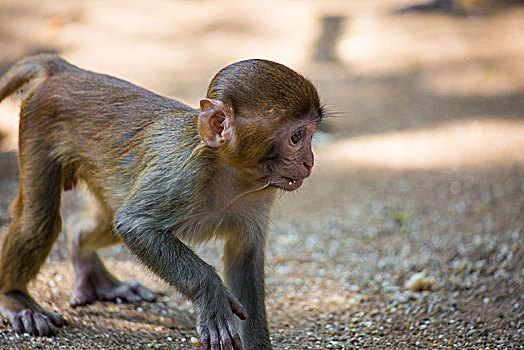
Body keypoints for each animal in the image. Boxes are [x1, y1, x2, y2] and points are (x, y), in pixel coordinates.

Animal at [0, 55, 324, 350]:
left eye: (311, 134)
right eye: (296, 136)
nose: (309, 162)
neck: (232, 171)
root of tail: (65, 70)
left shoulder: (261, 197)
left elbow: (244, 258)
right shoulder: (181, 176)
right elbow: (134, 224)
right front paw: (212, 293)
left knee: (102, 219)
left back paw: (88, 260)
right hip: (37, 123)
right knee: (40, 220)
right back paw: (14, 298)